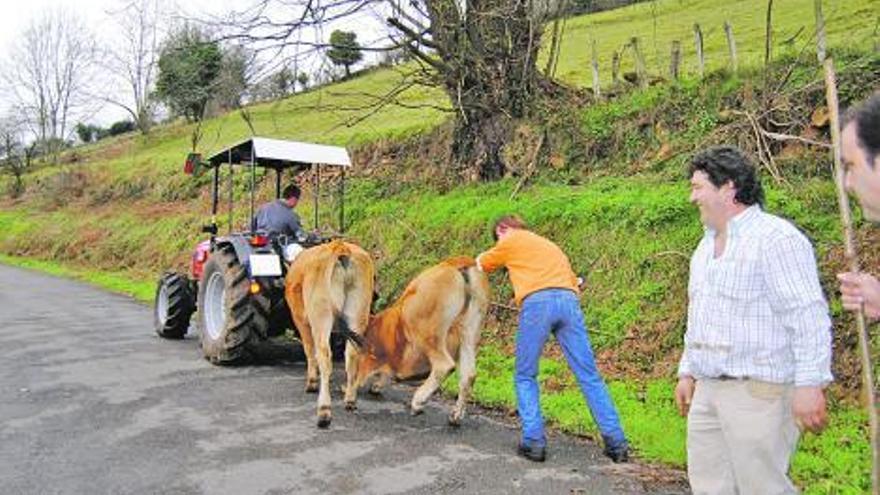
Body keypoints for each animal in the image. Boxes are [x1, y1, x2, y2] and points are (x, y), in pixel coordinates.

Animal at [286, 239, 374, 426]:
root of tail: (340, 245)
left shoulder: (301, 320)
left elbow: (309, 350)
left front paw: (312, 382)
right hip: (358, 313)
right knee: (352, 354)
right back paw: (350, 399)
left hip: (320, 316)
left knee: (324, 355)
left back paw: (324, 411)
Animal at [348, 256, 488, 426]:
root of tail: (459, 263)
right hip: (470, 334)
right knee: (469, 375)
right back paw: (456, 416)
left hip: (425, 333)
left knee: (444, 365)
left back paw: (418, 401)